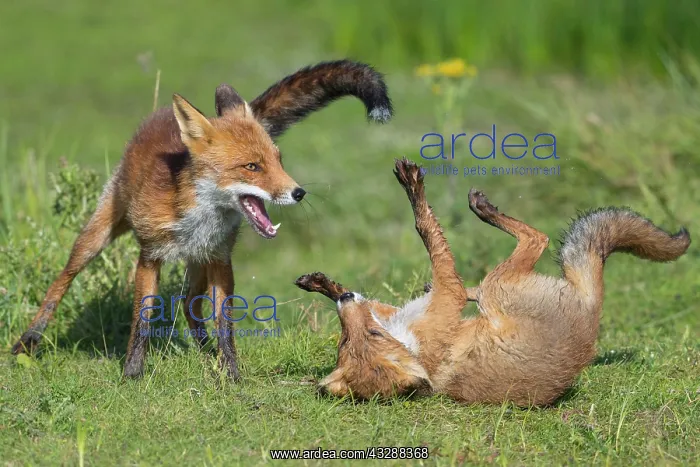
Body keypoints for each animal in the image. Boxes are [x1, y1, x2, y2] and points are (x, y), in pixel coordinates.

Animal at [11, 60, 394, 381]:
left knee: (188, 305)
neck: (196, 217)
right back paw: (28, 340)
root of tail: (161, 115)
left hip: (198, 261)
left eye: (278, 160)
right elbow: (142, 320)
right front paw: (132, 373)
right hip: (99, 232)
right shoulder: (149, 257)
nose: (298, 193)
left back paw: (208, 354)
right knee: (63, 279)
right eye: (252, 166)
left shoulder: (220, 259)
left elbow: (225, 324)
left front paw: (231, 374)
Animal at [295, 158, 691, 406]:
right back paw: (480, 208)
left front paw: (322, 284)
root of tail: (591, 319)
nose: (345, 299)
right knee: (537, 238)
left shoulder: (406, 309)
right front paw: (414, 189)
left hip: (492, 290)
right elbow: (428, 232)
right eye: (363, 338)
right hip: (497, 287)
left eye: (344, 341)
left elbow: (383, 288)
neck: (414, 347)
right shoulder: (448, 295)